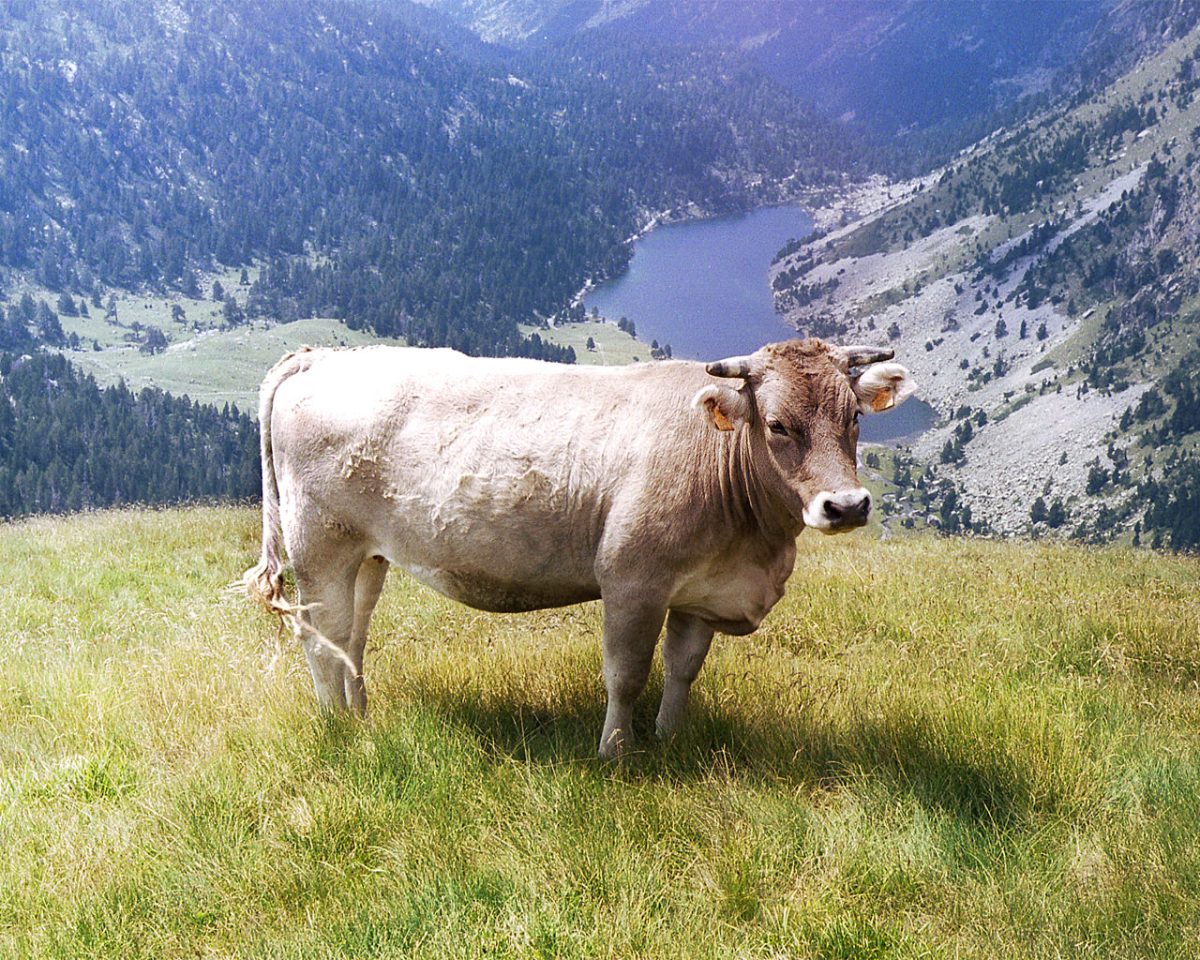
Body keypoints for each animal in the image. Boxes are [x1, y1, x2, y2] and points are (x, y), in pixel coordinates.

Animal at [241, 338, 916, 758]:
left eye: (855, 418)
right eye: (777, 424)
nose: (847, 506)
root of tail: (322, 357)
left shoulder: (701, 592)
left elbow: (682, 669)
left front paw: (670, 739)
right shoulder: (632, 580)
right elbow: (627, 674)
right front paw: (615, 752)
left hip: (369, 556)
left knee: (352, 635)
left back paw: (360, 714)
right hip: (320, 547)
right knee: (319, 636)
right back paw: (336, 727)